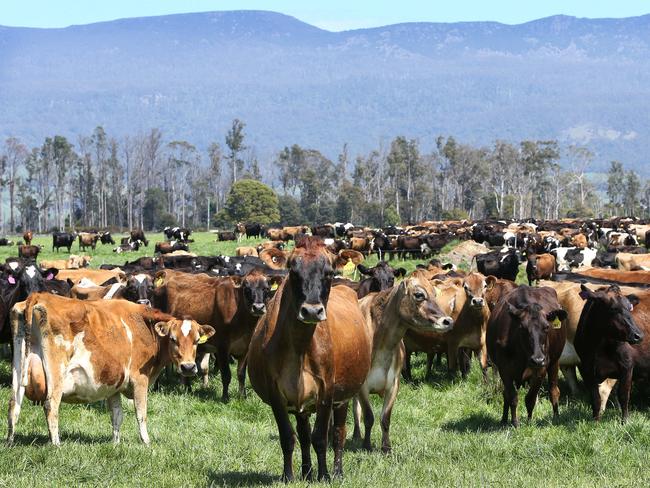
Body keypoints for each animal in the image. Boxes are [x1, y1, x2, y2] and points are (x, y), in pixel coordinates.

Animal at [6, 294, 215, 446]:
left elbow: (117, 416)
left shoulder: (113, 386)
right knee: (51, 405)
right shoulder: (140, 380)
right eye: (173, 339)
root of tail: (38, 296)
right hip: (56, 375)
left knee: (13, 404)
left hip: (19, 368)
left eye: (196, 340)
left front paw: (115, 443)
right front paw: (146, 442)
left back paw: (10, 442)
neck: (143, 325)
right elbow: (141, 413)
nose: (188, 367)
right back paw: (56, 444)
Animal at [247, 236, 370, 480]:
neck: (299, 346)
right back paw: (306, 472)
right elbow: (288, 437)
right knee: (303, 435)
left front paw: (324, 476)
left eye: (329, 272)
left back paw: (337, 472)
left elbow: (321, 437)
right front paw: (289, 476)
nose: (312, 311)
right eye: (293, 272)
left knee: (338, 433)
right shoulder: (276, 393)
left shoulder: (327, 391)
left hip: (343, 396)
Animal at [352, 268, 454, 452]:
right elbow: (368, 417)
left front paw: (386, 448)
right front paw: (366, 445)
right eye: (419, 294)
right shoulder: (363, 385)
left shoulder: (394, 383)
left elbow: (385, 418)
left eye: (435, 294)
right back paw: (356, 434)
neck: (383, 344)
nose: (448, 321)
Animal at [486, 286, 568, 428]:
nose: (537, 359)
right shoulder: (504, 369)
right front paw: (514, 422)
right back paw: (504, 420)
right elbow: (511, 396)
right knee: (506, 394)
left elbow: (530, 398)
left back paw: (556, 417)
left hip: (554, 362)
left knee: (554, 391)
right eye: (522, 327)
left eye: (547, 327)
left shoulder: (541, 368)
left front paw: (529, 421)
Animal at [572, 284, 644, 422]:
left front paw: (625, 421)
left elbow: (624, 395)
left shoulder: (627, 365)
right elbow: (595, 398)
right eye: (613, 309)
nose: (638, 335)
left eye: (630, 308)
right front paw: (595, 420)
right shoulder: (586, 369)